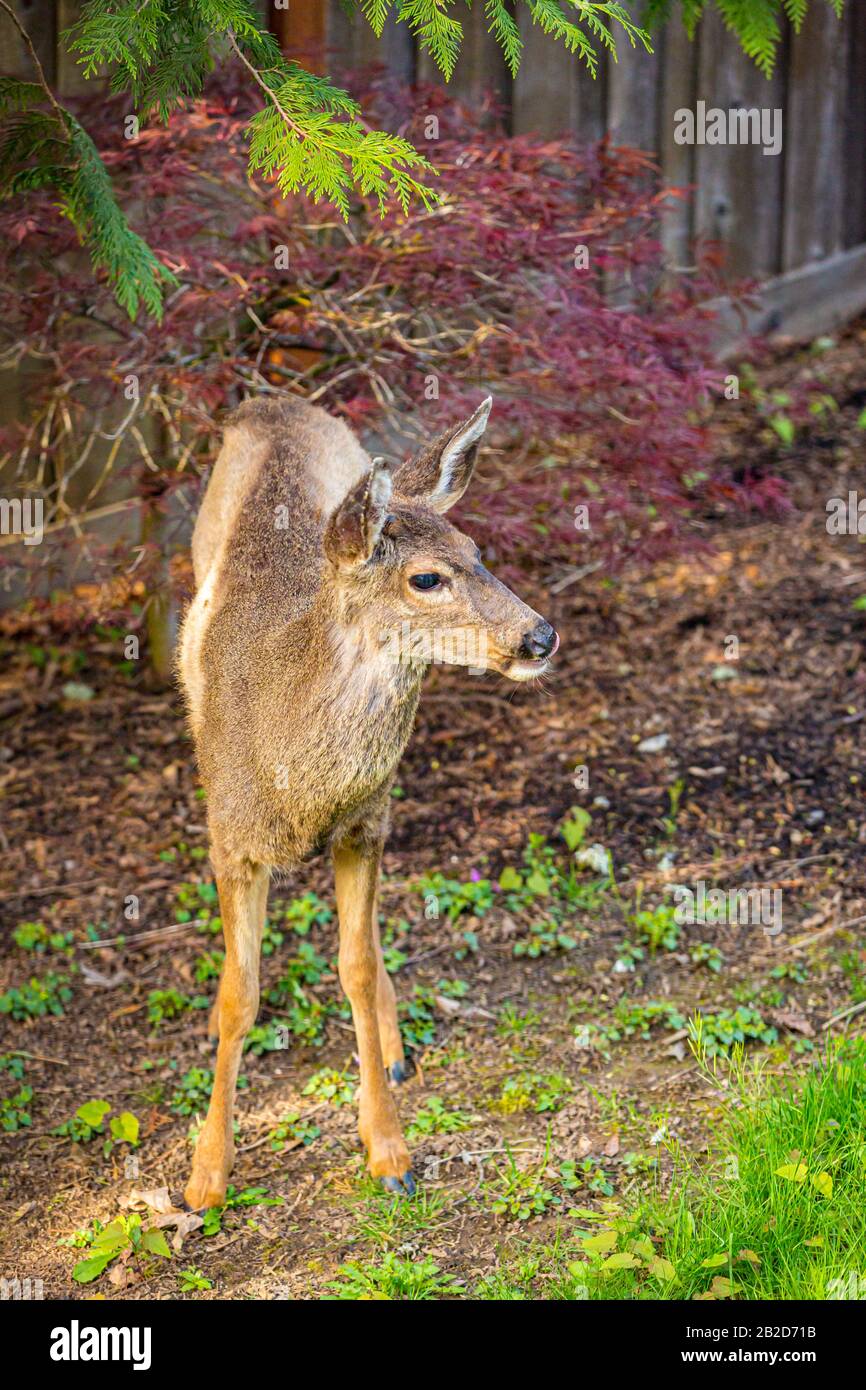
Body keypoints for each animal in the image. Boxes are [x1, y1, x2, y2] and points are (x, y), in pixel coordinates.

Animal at [178, 394, 559, 1210]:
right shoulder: (229, 839)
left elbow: (352, 964)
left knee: (373, 939)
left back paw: (392, 1050)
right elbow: (236, 997)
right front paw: (206, 1176)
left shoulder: (362, 825)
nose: (539, 635)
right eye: (426, 579)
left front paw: (388, 1150)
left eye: (476, 549)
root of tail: (269, 403)